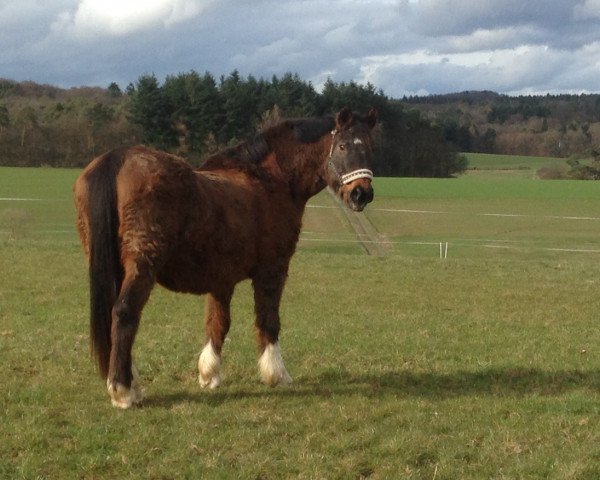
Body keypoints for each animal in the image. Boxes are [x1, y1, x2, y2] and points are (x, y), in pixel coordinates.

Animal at [74, 107, 376, 406]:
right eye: (343, 145)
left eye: (369, 146)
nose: (362, 193)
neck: (269, 180)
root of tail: (118, 157)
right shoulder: (273, 269)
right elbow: (268, 318)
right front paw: (276, 373)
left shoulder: (221, 280)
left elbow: (218, 322)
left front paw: (210, 375)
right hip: (141, 266)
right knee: (124, 314)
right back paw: (123, 390)